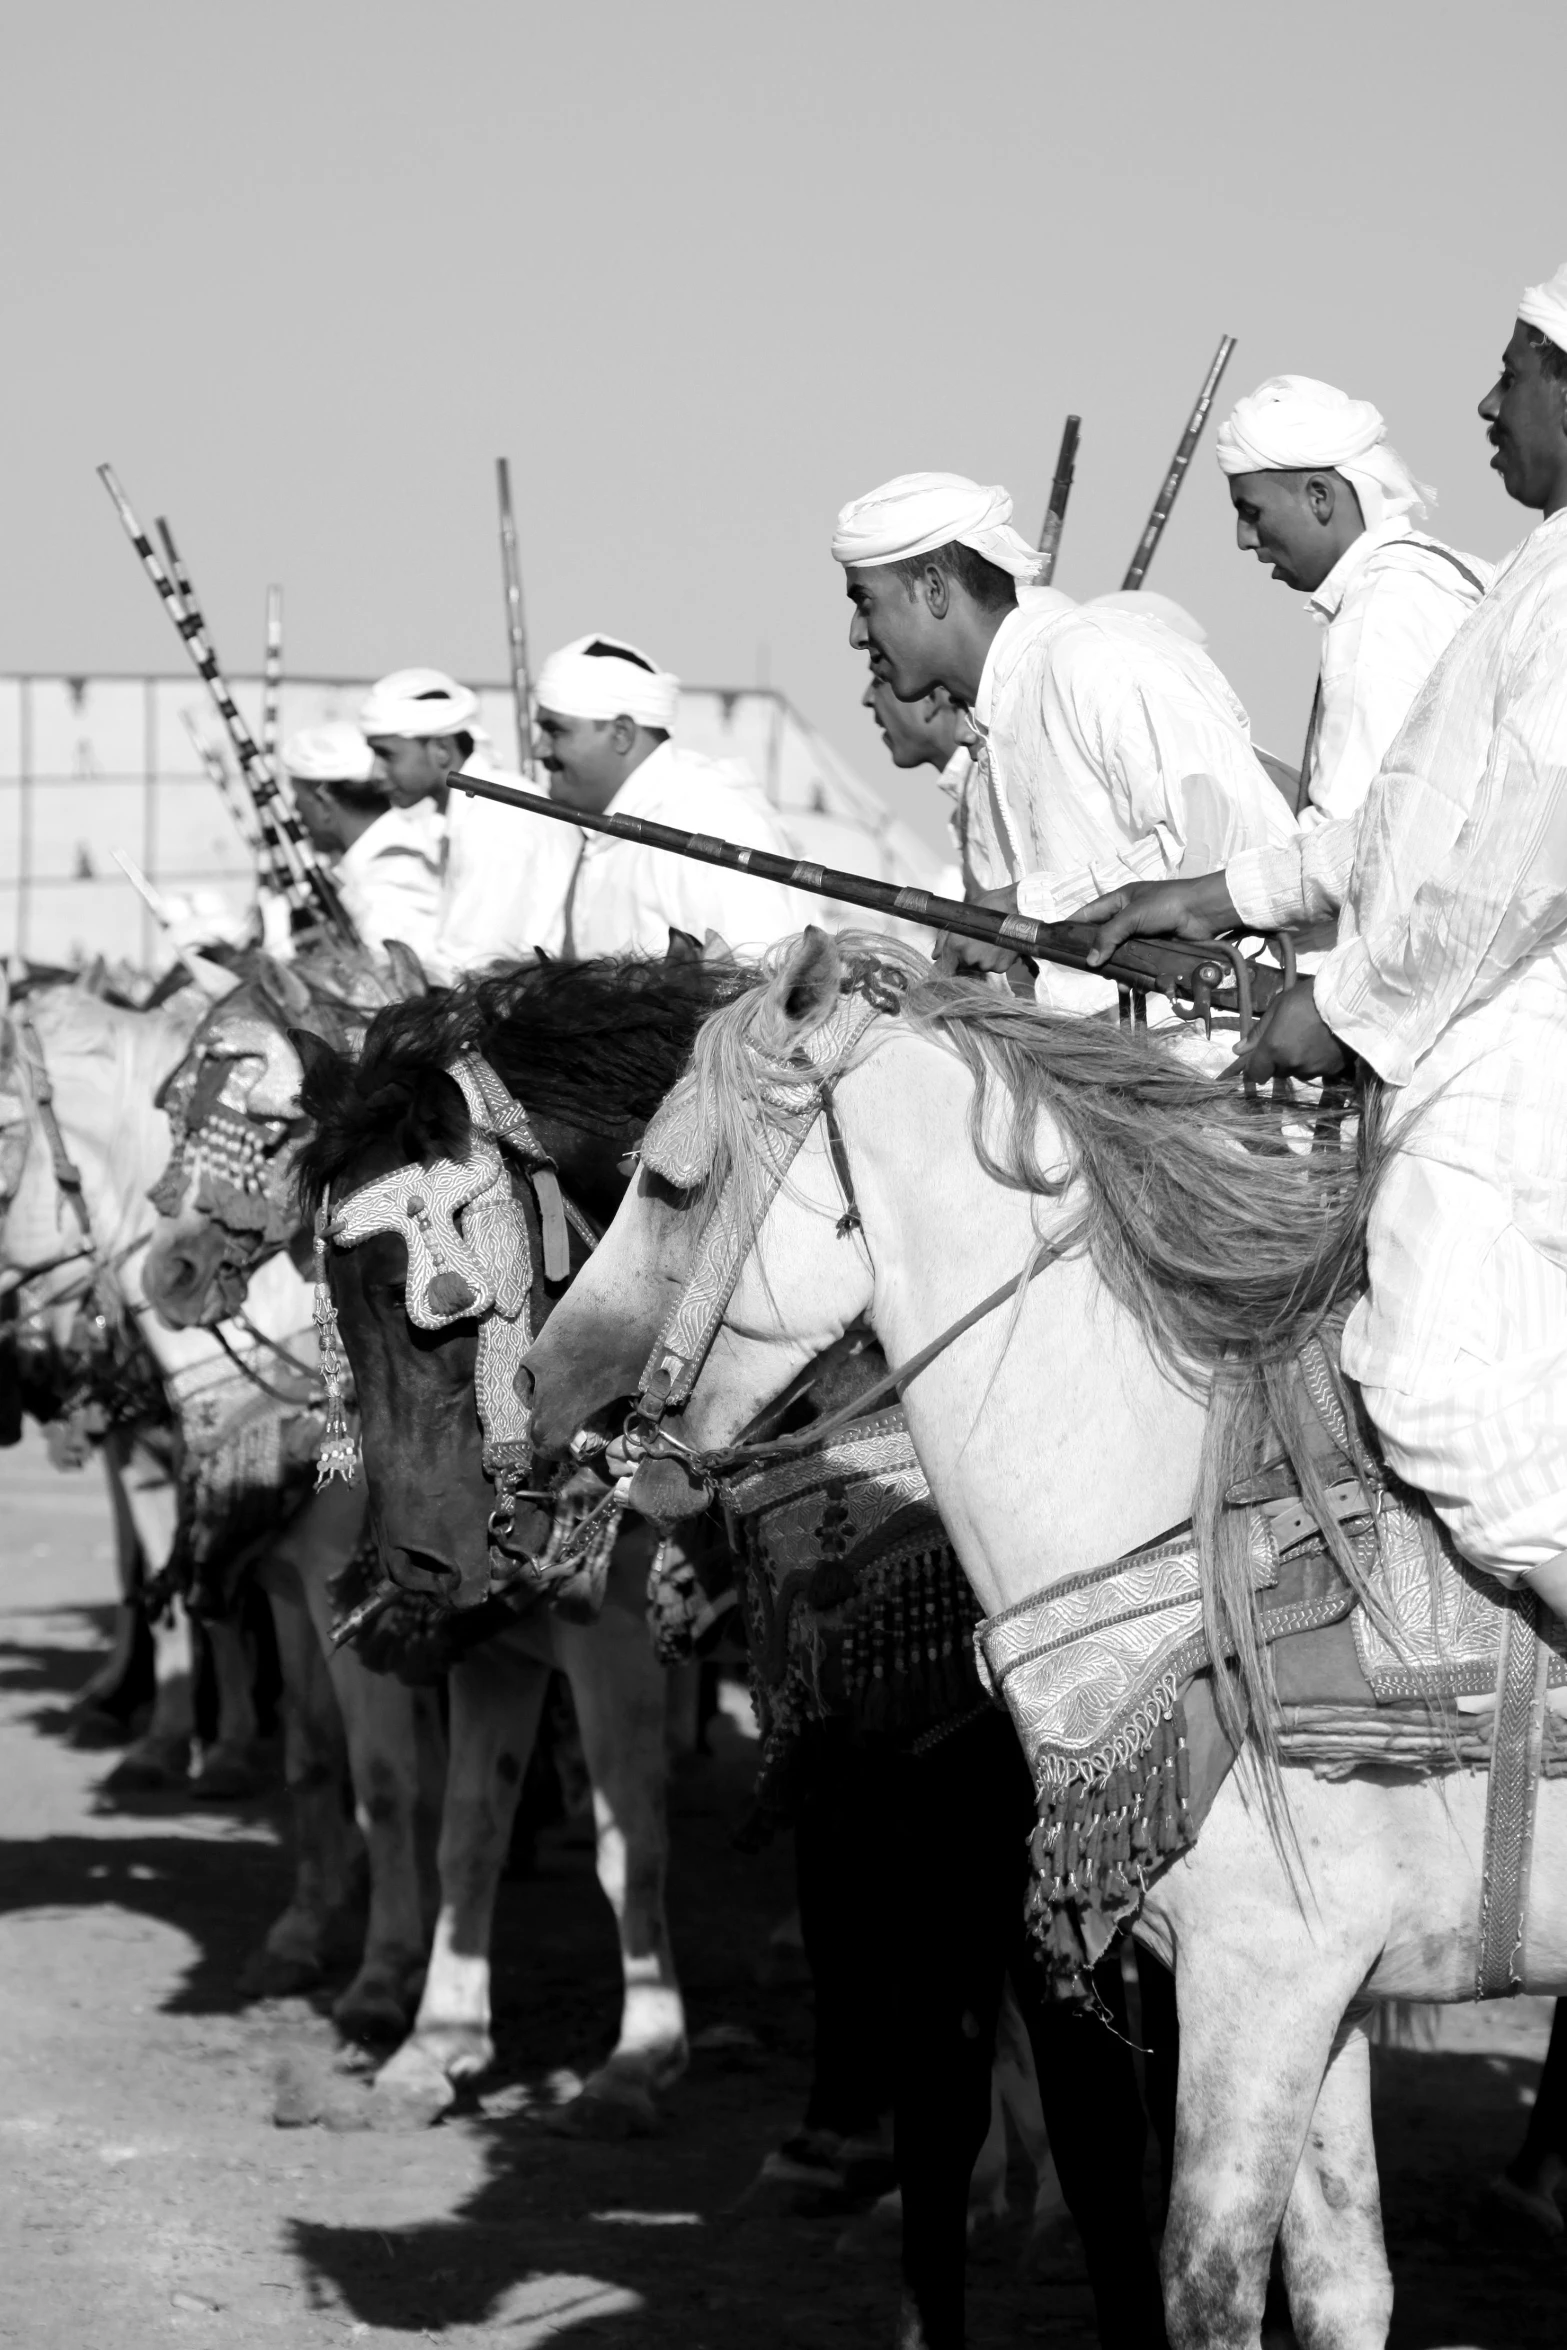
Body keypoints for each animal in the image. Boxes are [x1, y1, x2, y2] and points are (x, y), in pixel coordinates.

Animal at [521, 930, 1567, 2350]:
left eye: (673, 1182)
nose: (540, 1385)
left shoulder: (1257, 1984)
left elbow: (1197, 2277)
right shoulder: (1325, 1995)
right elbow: (1340, 2284)